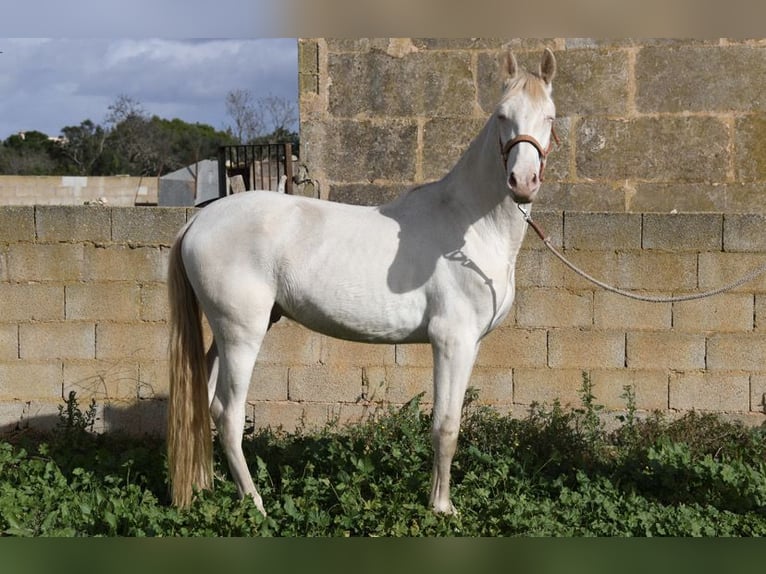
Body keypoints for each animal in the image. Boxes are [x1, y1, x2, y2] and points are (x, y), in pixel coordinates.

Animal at [166, 48, 560, 516]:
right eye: (502, 115)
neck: (469, 227)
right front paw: (442, 509)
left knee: (205, 403)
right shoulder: (452, 341)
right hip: (242, 333)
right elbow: (446, 426)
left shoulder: (471, 344)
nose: (523, 183)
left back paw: (206, 490)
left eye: (550, 117)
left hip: (222, 334)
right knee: (228, 414)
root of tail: (198, 221)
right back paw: (256, 505)